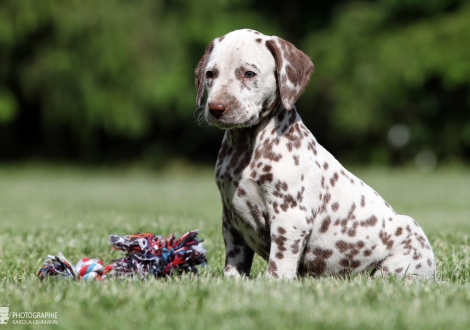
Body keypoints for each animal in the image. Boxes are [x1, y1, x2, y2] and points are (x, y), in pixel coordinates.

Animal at [193, 29, 436, 282]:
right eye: (210, 74)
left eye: (249, 74)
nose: (216, 108)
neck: (246, 146)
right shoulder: (231, 220)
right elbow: (234, 259)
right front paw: (232, 282)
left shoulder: (289, 217)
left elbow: (280, 262)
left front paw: (273, 284)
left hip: (401, 252)